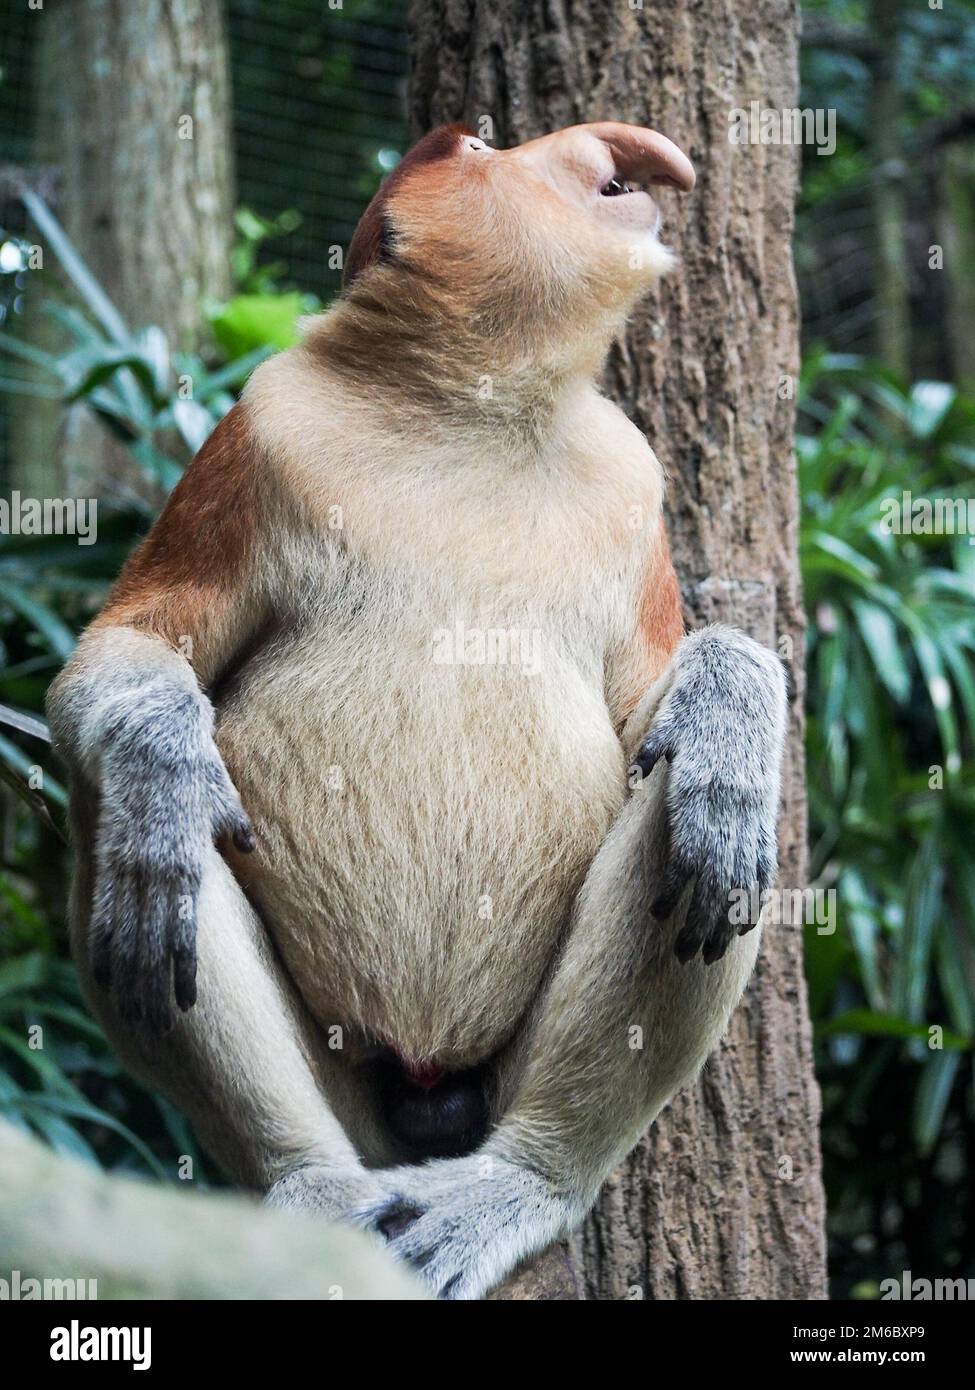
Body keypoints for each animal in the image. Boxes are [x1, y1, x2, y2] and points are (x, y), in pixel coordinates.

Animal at [49, 122, 790, 1301]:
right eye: (479, 145)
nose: (608, 146)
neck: (476, 408)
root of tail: (427, 1089)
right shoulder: (260, 434)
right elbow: (118, 655)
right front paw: (159, 797)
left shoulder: (633, 486)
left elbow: (653, 714)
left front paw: (727, 733)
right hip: (348, 1092)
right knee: (114, 813)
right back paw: (312, 1187)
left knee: (693, 851)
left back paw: (520, 1182)